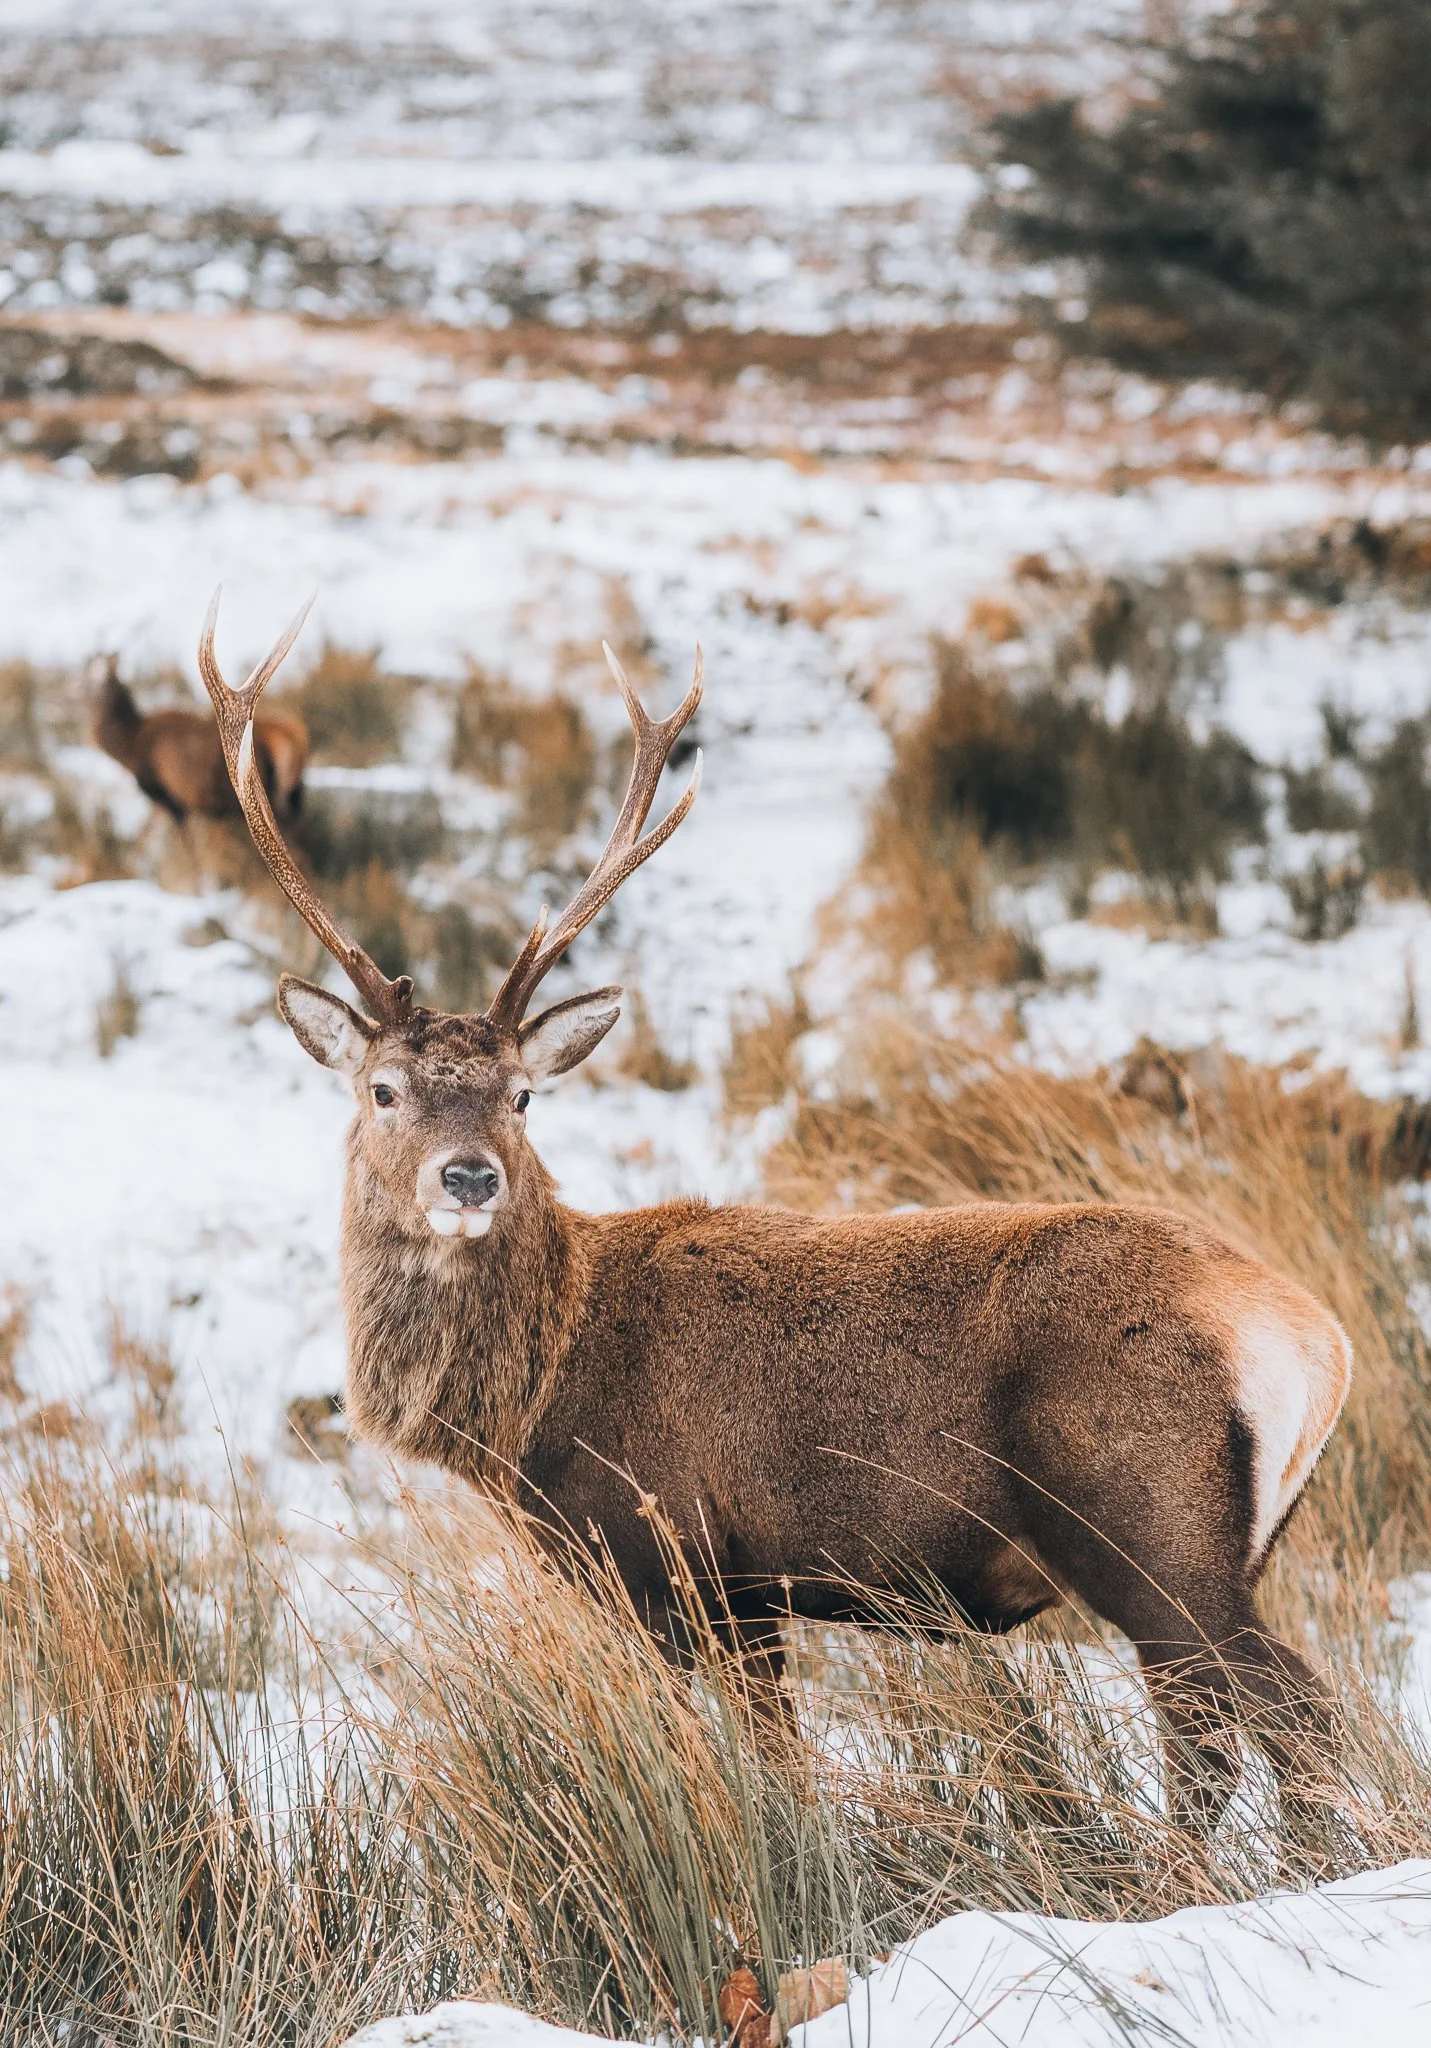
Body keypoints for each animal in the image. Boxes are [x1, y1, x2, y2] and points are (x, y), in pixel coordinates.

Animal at [92, 651, 307, 826]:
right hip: (291, 796)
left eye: (105, 674)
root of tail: (294, 738)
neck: (128, 747)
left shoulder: (170, 801)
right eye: (91, 669)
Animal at [200, 592, 1352, 1835]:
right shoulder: (747, 1590)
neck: (532, 1406)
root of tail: (1315, 1339)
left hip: (1150, 1525)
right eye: (384, 1088)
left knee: (1278, 1716)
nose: (468, 1178)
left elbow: (745, 1769)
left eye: (520, 1094)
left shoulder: (674, 1555)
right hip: (1228, 1545)